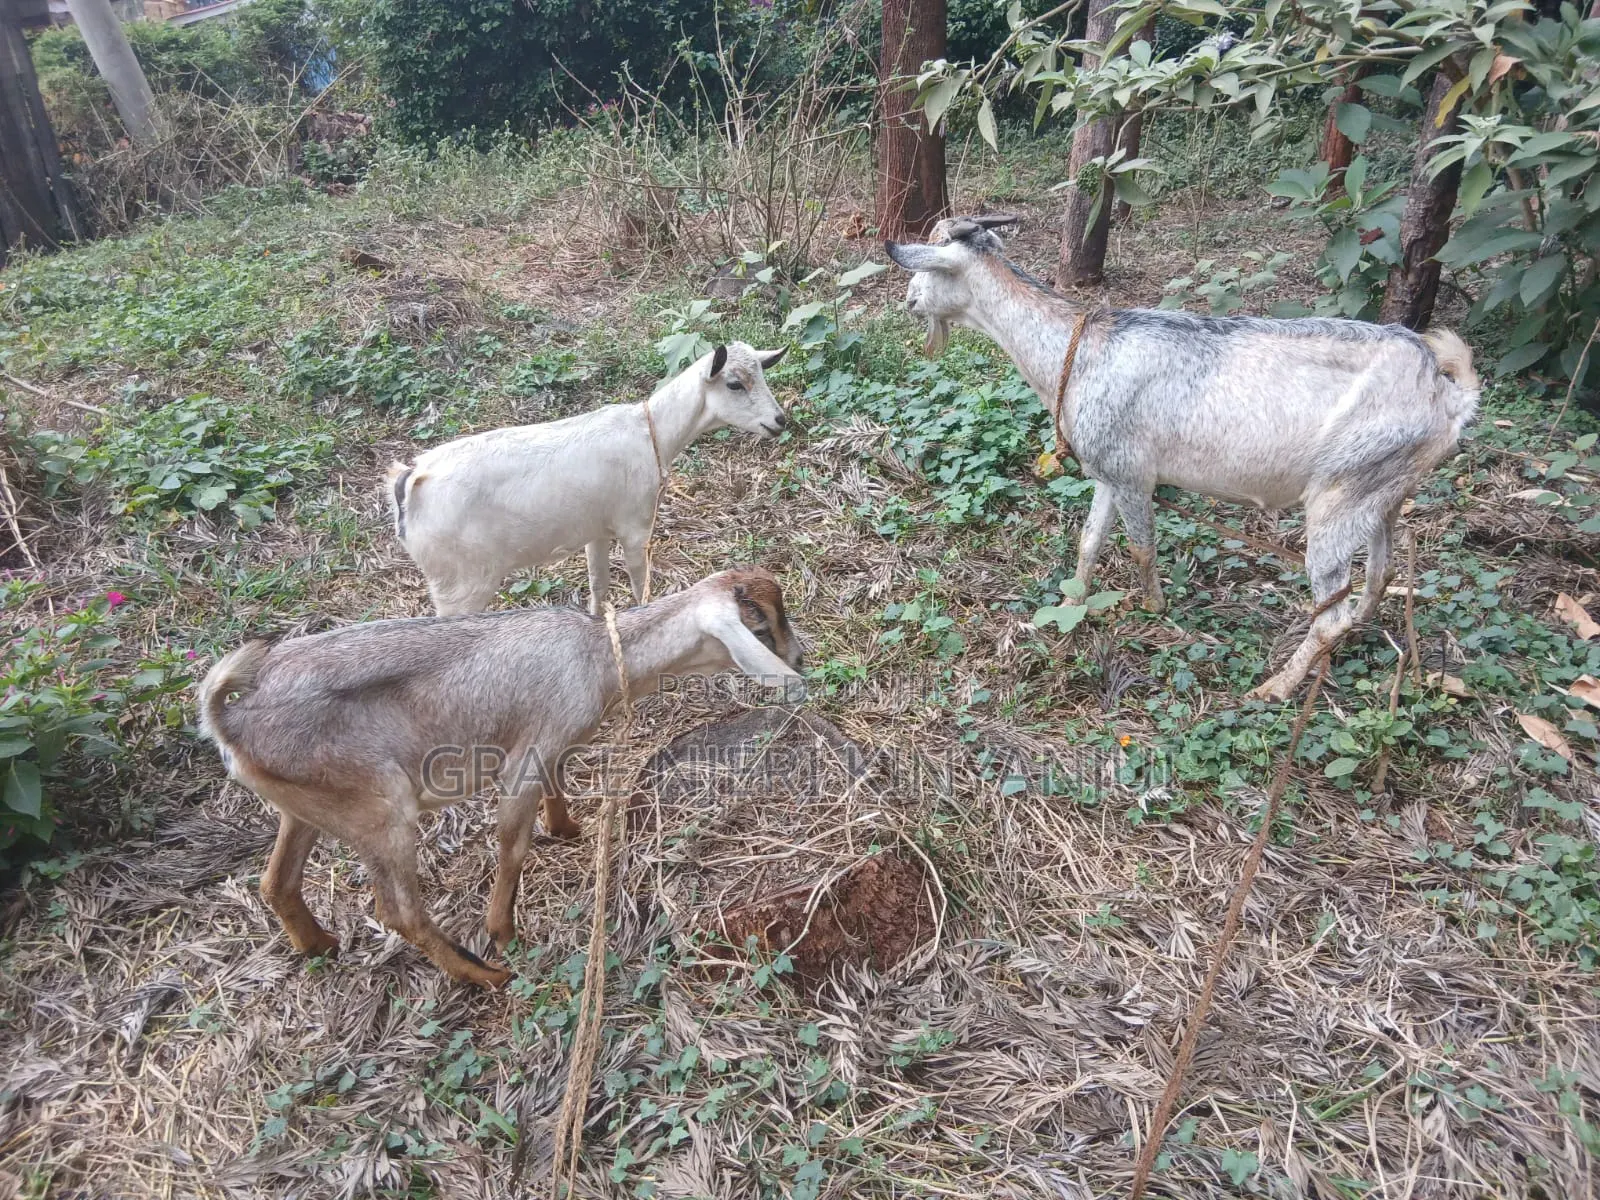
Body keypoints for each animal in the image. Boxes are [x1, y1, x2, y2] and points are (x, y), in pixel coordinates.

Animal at [198, 568, 806, 987]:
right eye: (762, 626)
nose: (800, 660)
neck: (598, 654)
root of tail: (230, 721)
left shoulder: (550, 744)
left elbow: (557, 784)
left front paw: (567, 828)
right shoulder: (522, 763)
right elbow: (512, 846)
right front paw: (503, 934)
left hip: (307, 805)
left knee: (276, 881)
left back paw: (320, 945)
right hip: (378, 808)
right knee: (398, 911)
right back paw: (484, 976)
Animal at [387, 343, 789, 617]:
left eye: (763, 373)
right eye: (734, 384)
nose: (780, 420)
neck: (652, 432)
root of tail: (411, 479)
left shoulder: (596, 531)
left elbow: (599, 583)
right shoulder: (635, 527)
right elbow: (639, 585)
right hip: (460, 583)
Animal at [886, 216, 1479, 700]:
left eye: (928, 266)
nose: (909, 302)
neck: (1081, 351)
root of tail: (1445, 394)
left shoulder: (1132, 475)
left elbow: (1141, 549)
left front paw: (1153, 608)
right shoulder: (1109, 471)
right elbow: (1089, 541)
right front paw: (1074, 599)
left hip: (1339, 497)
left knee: (1330, 612)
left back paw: (1277, 687)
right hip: (1382, 493)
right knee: (1380, 574)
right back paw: (1355, 635)